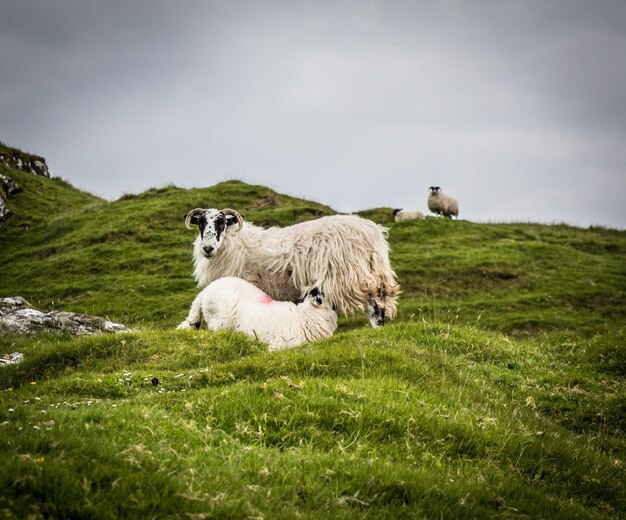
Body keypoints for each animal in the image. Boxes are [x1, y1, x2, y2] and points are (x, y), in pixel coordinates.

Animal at [183, 208, 398, 328]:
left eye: (221, 223)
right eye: (200, 223)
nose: (207, 248)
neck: (234, 243)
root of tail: (371, 230)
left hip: (354, 274)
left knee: (374, 301)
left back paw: (377, 326)